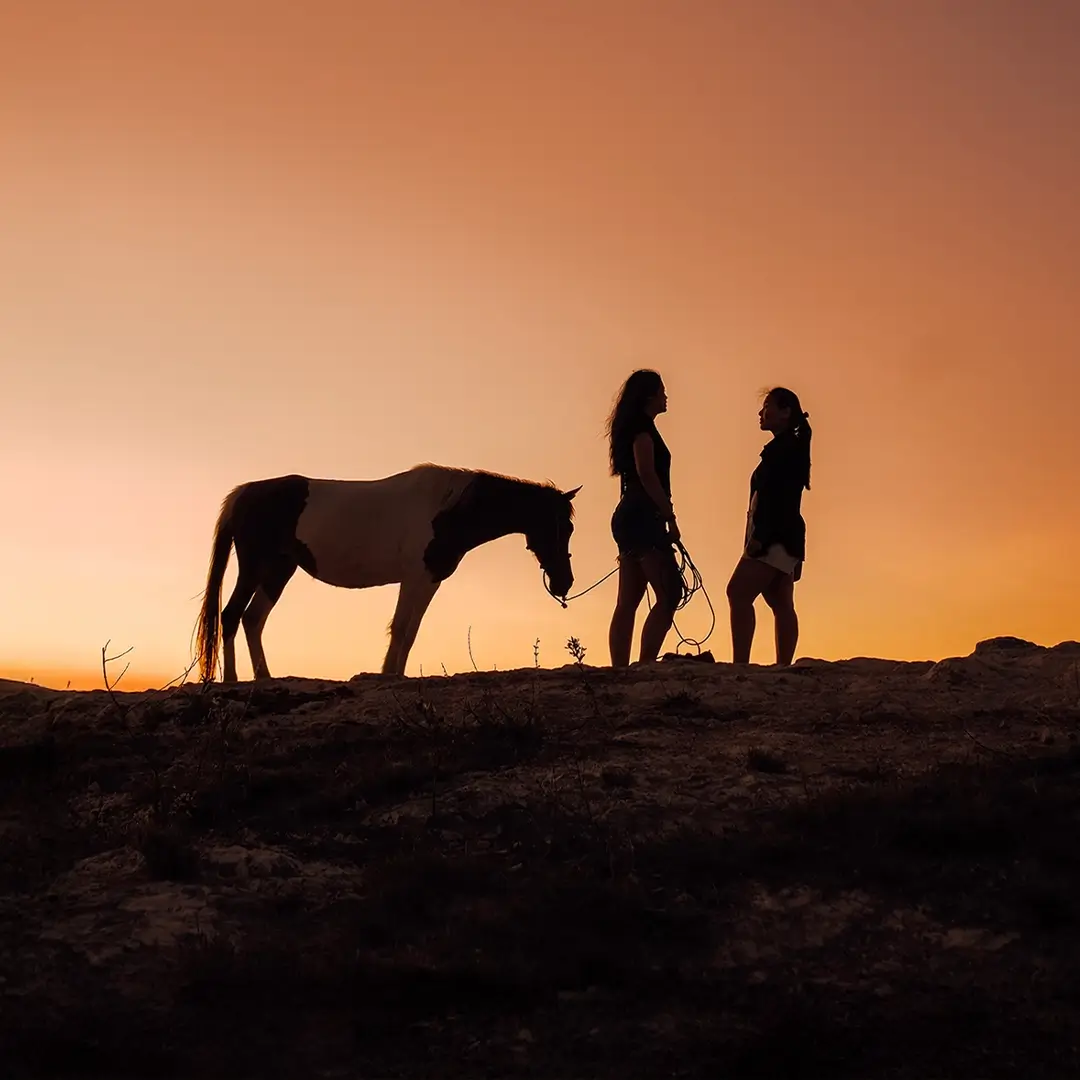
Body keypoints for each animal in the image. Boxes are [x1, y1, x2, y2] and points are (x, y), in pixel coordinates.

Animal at [194, 464, 580, 682]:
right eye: (559, 526)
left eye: (569, 527)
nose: (565, 582)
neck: (446, 509)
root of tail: (244, 493)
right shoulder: (415, 578)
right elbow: (401, 628)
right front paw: (388, 674)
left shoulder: (429, 580)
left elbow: (410, 632)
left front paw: (395, 674)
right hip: (254, 566)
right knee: (232, 615)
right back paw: (232, 680)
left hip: (278, 570)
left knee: (252, 618)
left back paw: (264, 677)